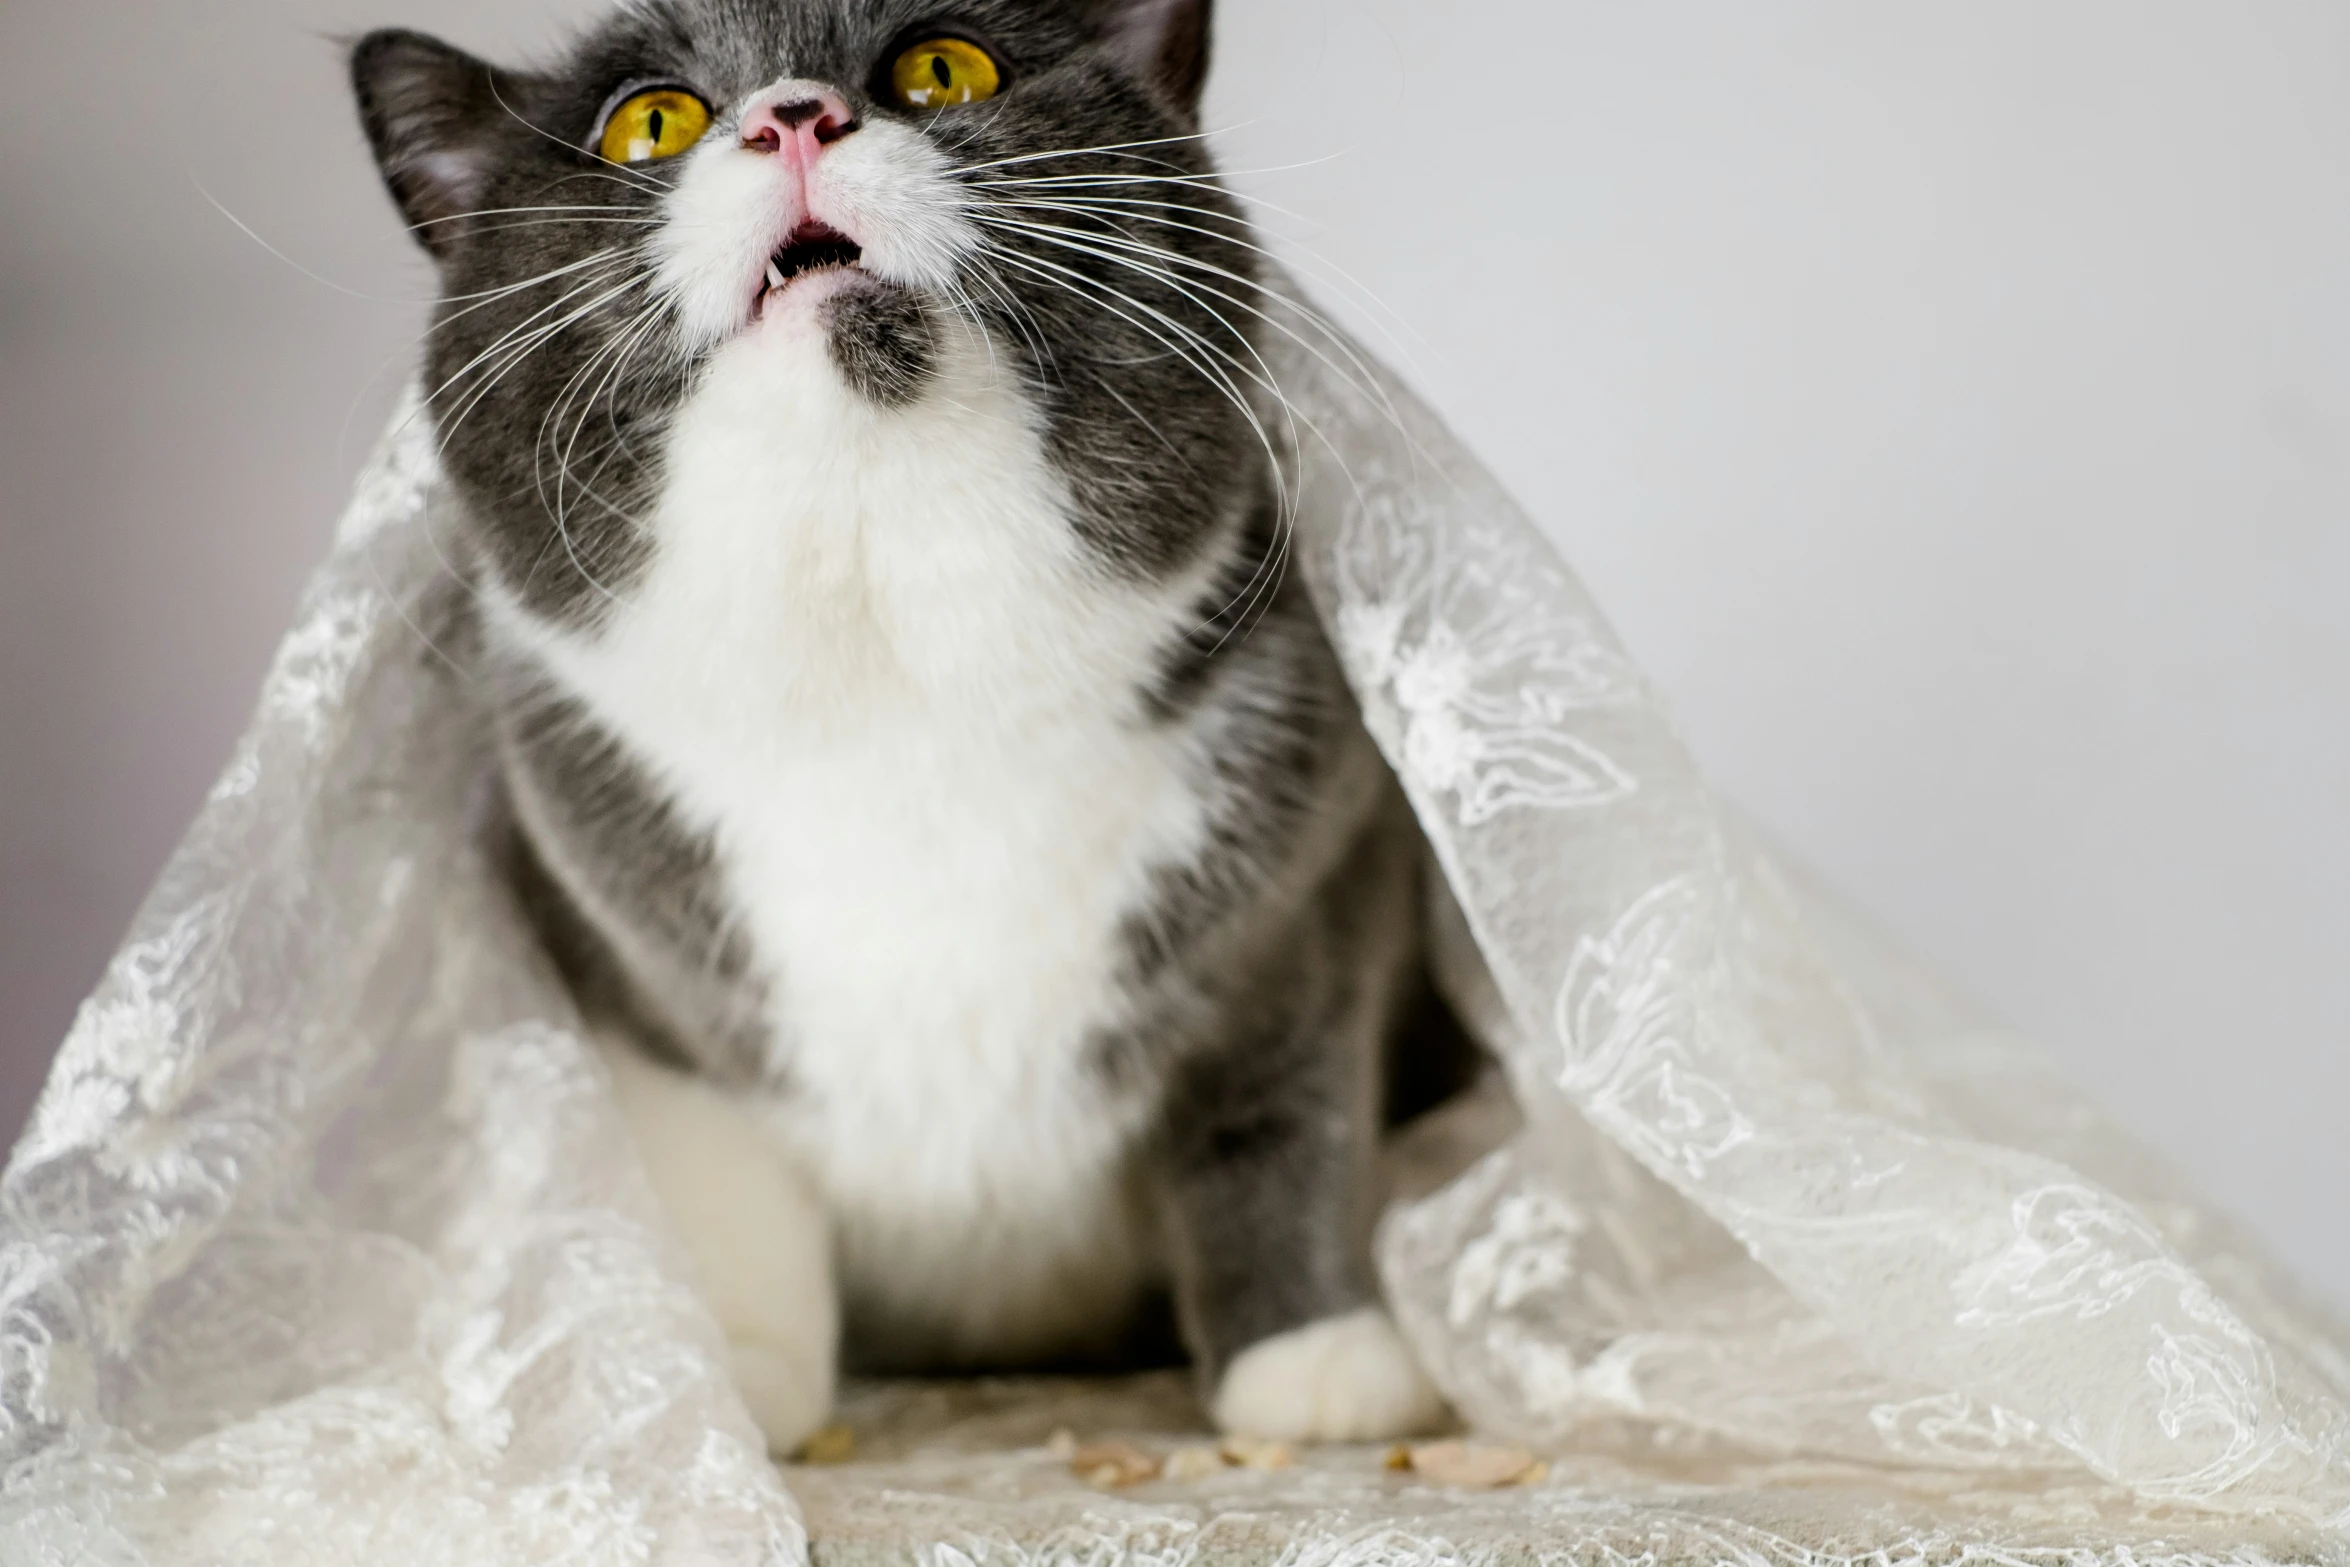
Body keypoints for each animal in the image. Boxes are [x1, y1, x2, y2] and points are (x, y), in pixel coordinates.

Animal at [352, 0, 1466, 1456]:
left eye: (943, 66)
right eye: (647, 119)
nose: (795, 114)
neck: (895, 688)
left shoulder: (1318, 877)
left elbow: (1282, 1104)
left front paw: (1317, 1357)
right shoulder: (613, 957)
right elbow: (722, 1173)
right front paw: (726, 1382)